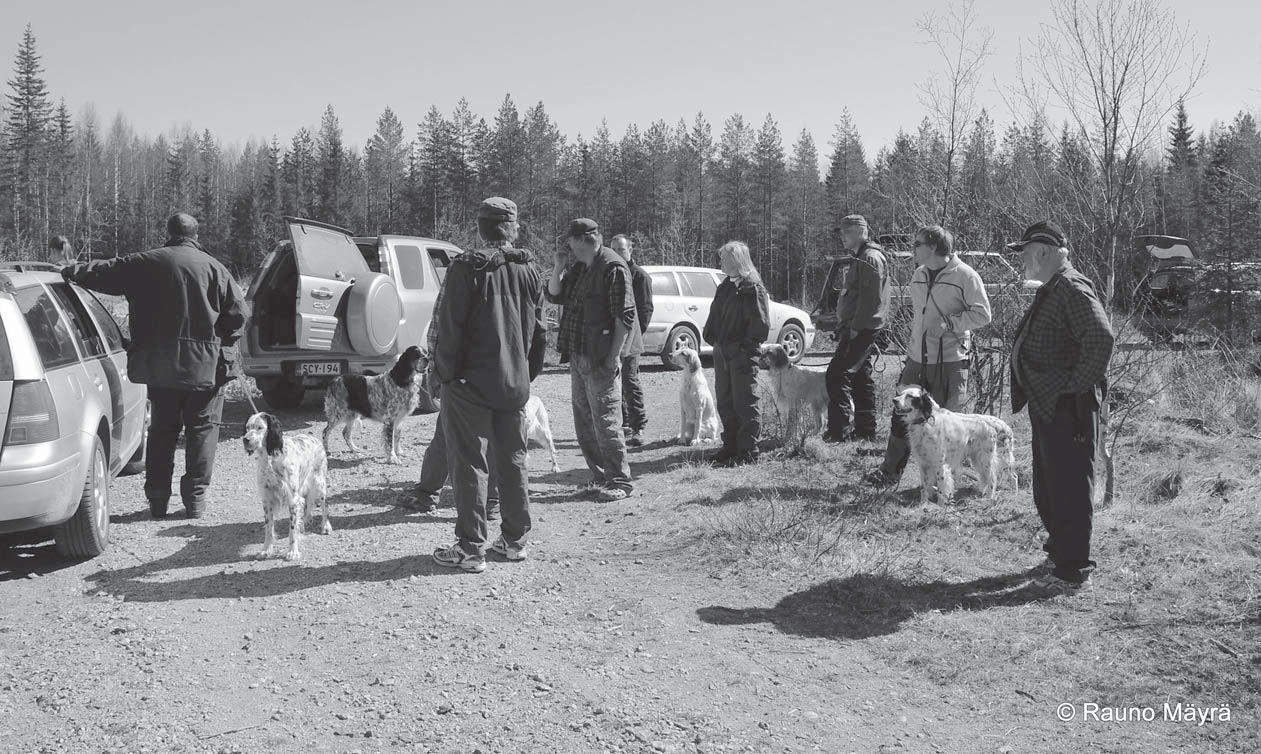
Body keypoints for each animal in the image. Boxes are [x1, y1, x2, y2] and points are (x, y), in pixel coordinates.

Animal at [242, 413, 332, 562]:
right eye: (247, 427)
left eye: (260, 427)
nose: (245, 439)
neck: (271, 459)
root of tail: (313, 438)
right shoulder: (267, 500)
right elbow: (269, 528)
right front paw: (266, 551)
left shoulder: (292, 499)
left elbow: (292, 529)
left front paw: (292, 552)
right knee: (308, 502)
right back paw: (306, 520)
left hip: (319, 483)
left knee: (324, 506)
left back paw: (325, 526)